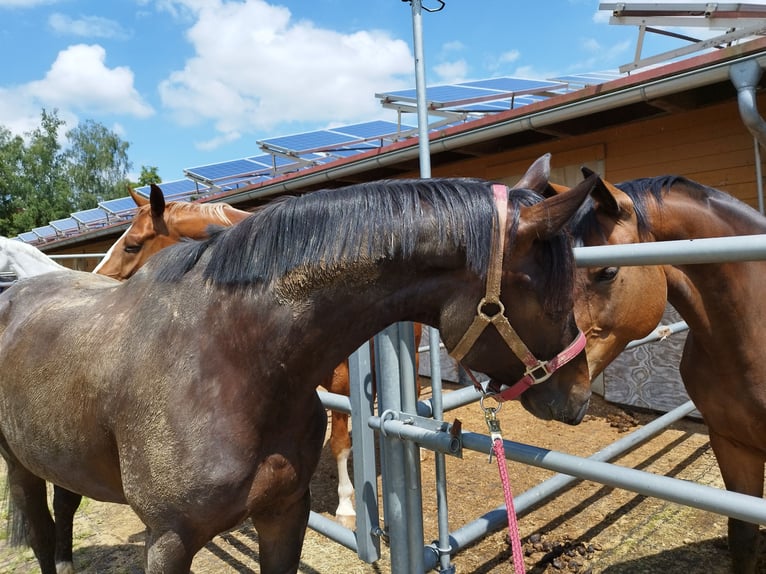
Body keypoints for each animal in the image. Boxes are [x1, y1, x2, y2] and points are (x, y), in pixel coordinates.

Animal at [0, 172, 596, 574]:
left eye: (132, 243)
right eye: (552, 298)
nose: (580, 396)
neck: (227, 360)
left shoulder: (285, 513)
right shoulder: (167, 539)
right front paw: (353, 508)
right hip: (20, 464)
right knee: (42, 527)